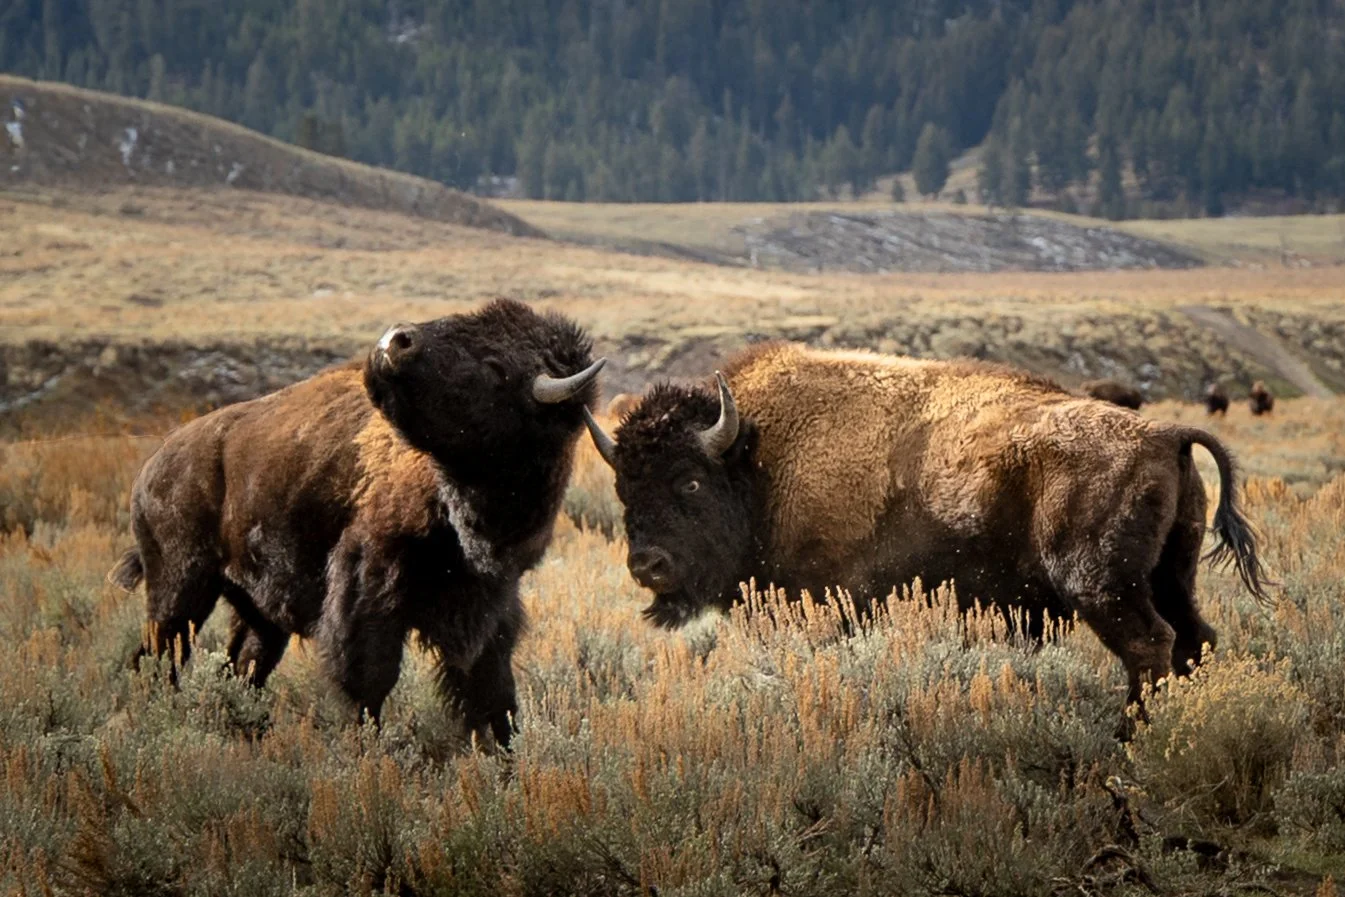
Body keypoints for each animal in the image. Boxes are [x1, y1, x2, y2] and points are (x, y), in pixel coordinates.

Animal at [109, 299, 603, 747]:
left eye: (497, 367)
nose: (395, 341)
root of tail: (154, 464)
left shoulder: (491, 606)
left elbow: (493, 693)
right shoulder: (369, 588)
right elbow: (369, 680)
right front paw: (367, 750)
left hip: (255, 610)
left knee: (241, 663)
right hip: (180, 589)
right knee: (160, 654)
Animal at [585, 343, 1269, 711]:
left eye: (690, 482)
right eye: (624, 488)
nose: (648, 564)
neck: (758, 459)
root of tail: (1166, 433)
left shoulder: (831, 605)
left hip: (1106, 590)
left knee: (1149, 646)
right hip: (1173, 577)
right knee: (1194, 640)